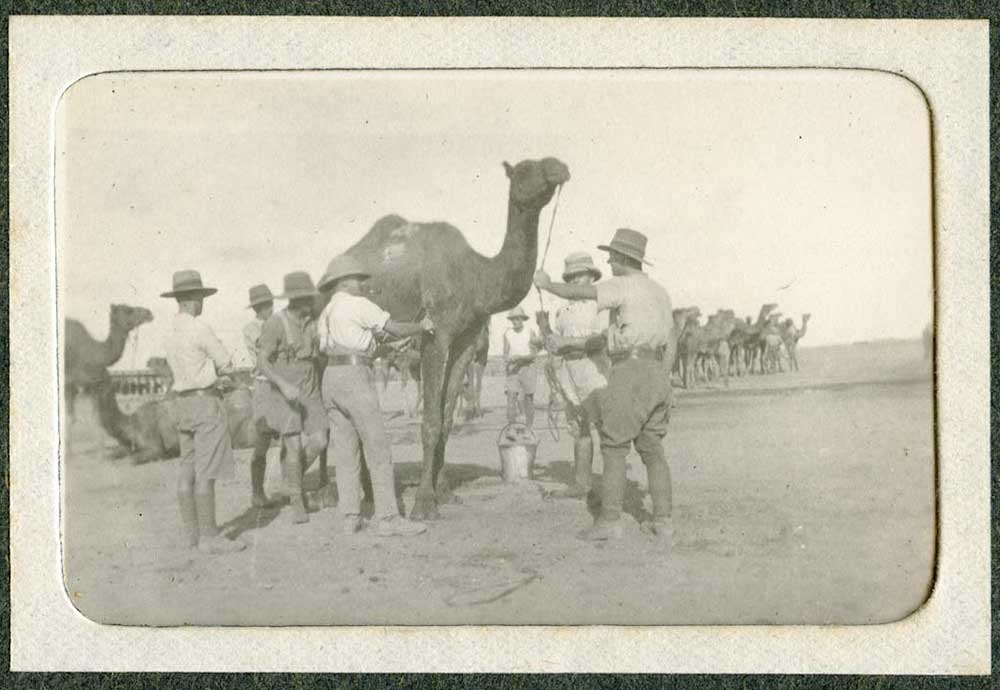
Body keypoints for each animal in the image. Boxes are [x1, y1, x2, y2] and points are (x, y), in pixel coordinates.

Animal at [330, 153, 572, 512]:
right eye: (525, 169)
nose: (559, 166)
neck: (476, 277)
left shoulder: (465, 343)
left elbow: (446, 419)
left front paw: (443, 490)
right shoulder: (437, 336)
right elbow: (430, 421)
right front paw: (424, 502)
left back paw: (370, 492)